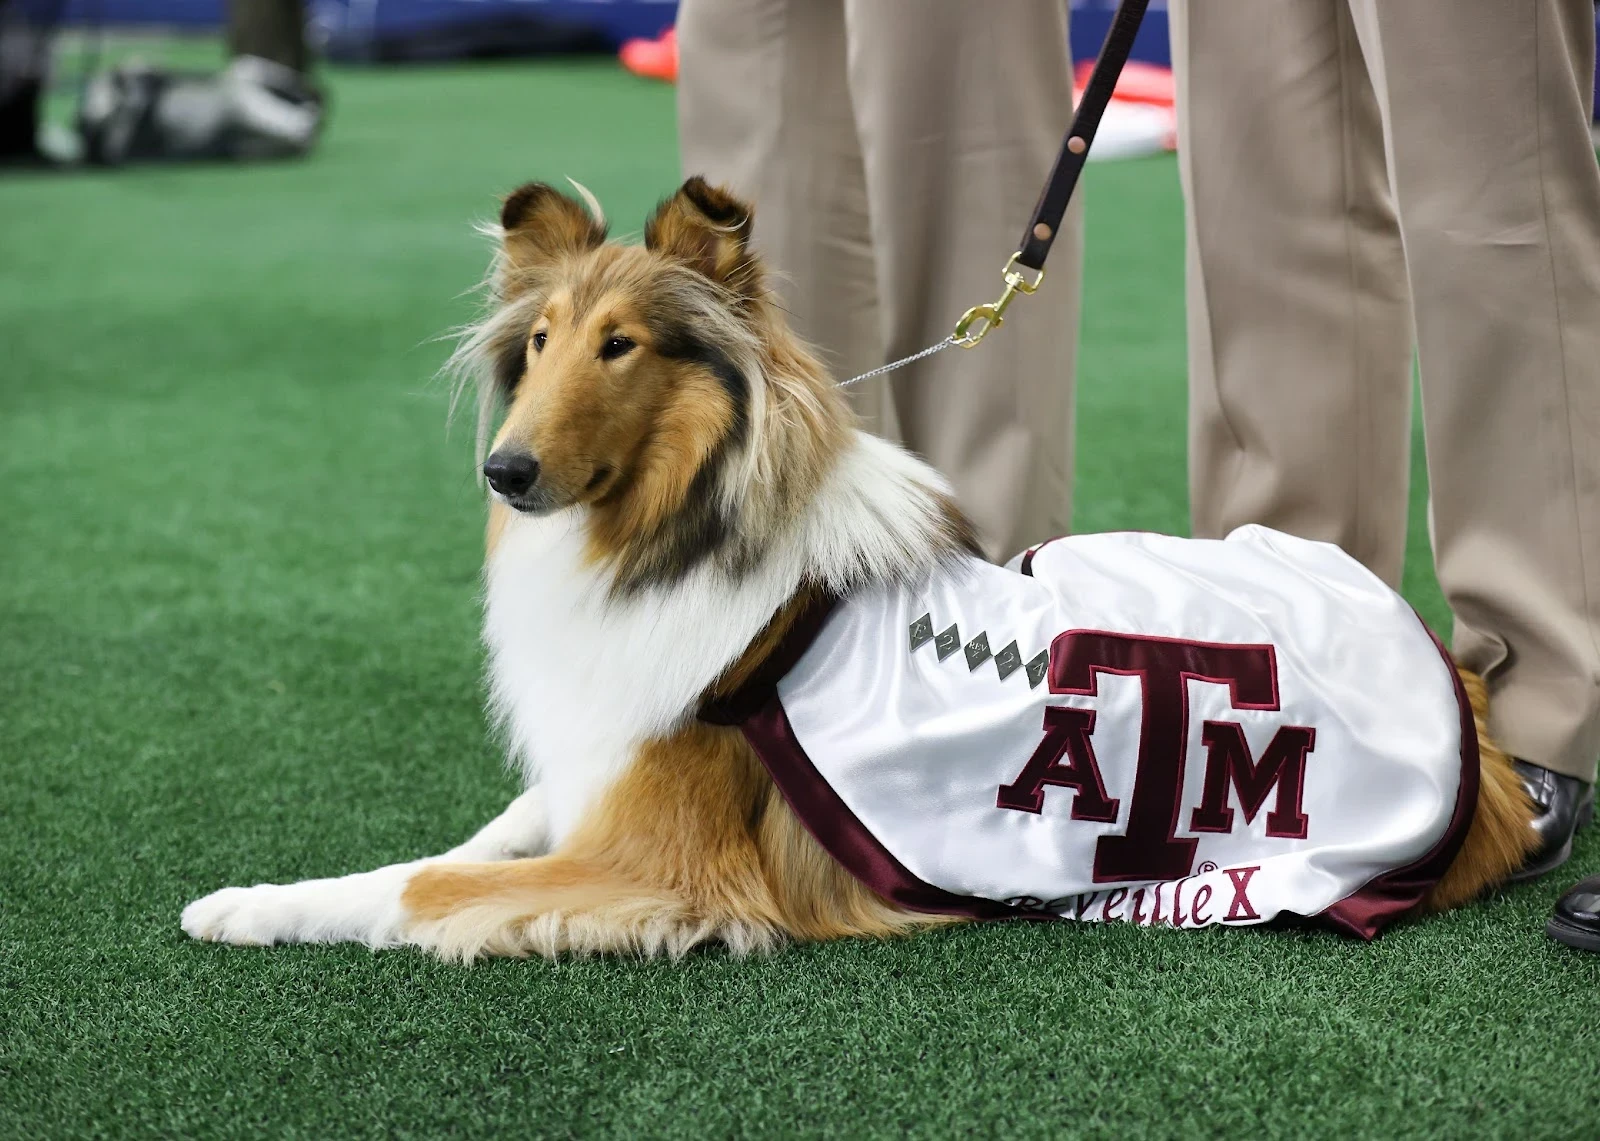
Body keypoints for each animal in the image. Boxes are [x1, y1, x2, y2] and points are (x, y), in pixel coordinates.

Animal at [184, 180, 1536, 960]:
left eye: (621, 345)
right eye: (541, 341)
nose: (504, 473)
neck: (673, 534)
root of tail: (1462, 694)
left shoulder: (661, 866)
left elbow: (422, 889)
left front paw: (245, 904)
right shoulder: (594, 774)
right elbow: (479, 836)